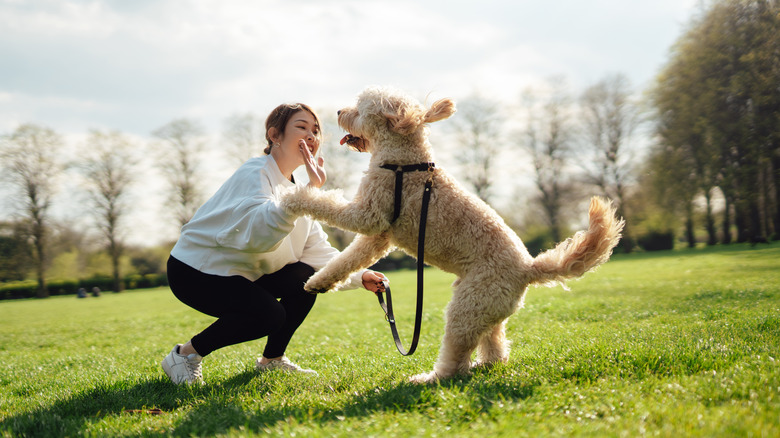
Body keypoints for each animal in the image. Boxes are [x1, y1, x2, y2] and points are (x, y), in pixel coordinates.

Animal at [284, 86, 624, 384]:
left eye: (360, 106)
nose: (339, 112)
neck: (404, 163)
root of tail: (529, 268)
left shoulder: (368, 215)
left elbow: (325, 204)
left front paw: (292, 199)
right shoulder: (379, 236)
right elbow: (347, 260)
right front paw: (317, 282)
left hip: (466, 309)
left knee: (455, 362)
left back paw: (430, 378)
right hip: (484, 308)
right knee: (495, 345)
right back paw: (486, 363)